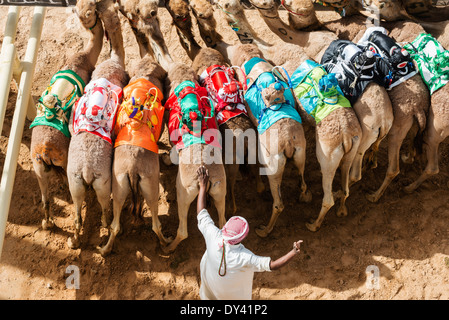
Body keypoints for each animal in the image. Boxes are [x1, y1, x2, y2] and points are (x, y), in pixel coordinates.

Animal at [28, 3, 104, 232]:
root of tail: (44, 150)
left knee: (45, 199)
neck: (84, 57)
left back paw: (47, 223)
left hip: (38, 171)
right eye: (90, 11)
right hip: (64, 160)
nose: (97, 12)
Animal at [97, 53, 169, 256]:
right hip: (151, 188)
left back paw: (105, 249)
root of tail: (132, 168)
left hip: (119, 187)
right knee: (156, 225)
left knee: (114, 226)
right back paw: (166, 244)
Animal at [162, 62, 228, 252]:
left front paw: (165, 160)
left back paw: (168, 247)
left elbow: (172, 155)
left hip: (183, 193)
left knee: (183, 231)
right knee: (223, 222)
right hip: (221, 192)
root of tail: (206, 175)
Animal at [228, 43, 312, 236]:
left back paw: (264, 230)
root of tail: (288, 140)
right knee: (303, 180)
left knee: (278, 204)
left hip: (273, 165)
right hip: (300, 154)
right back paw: (304, 195)